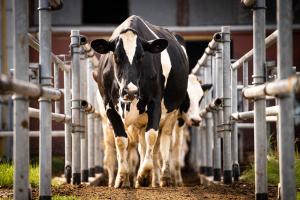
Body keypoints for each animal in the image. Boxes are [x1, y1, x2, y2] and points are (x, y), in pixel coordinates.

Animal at [92, 15, 189, 188]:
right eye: (116, 56)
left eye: (142, 56)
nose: (130, 91)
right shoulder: (109, 106)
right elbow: (121, 140)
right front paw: (121, 178)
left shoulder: (155, 103)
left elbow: (152, 136)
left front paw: (143, 174)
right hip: (139, 122)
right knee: (142, 145)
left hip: (172, 112)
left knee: (164, 141)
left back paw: (164, 177)